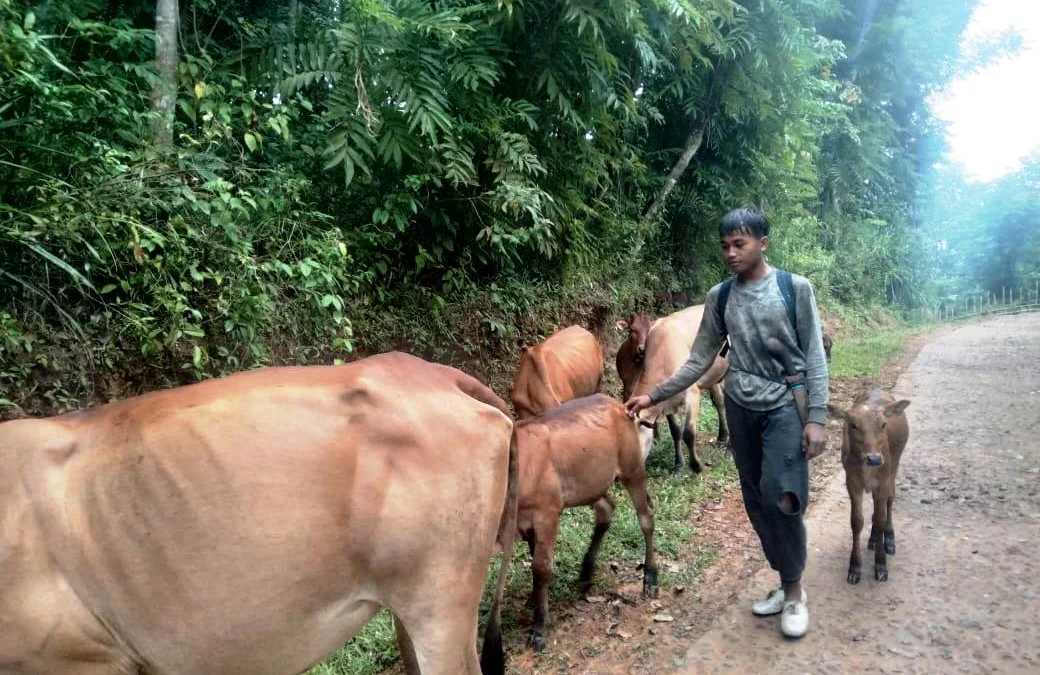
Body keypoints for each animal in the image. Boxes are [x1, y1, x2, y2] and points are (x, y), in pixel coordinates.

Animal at [513, 393, 657, 648]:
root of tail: (618, 405)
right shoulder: (527, 520)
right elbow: (534, 559)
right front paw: (532, 598)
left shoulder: (547, 514)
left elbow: (541, 566)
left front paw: (539, 627)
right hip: (591, 485)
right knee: (607, 509)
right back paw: (586, 572)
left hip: (632, 468)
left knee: (646, 516)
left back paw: (650, 577)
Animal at [615, 305, 732, 474]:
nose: (618, 475)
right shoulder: (666, 398)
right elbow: (675, 431)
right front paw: (679, 465)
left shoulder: (692, 393)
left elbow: (688, 433)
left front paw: (696, 465)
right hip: (714, 377)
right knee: (719, 402)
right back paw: (722, 437)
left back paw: (729, 450)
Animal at [827, 388, 911, 582]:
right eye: (853, 425)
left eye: (883, 424)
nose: (874, 458)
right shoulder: (852, 482)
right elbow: (857, 521)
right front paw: (854, 568)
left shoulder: (883, 481)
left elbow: (880, 519)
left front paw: (881, 565)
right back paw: (873, 539)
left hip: (894, 467)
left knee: (890, 499)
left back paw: (889, 539)